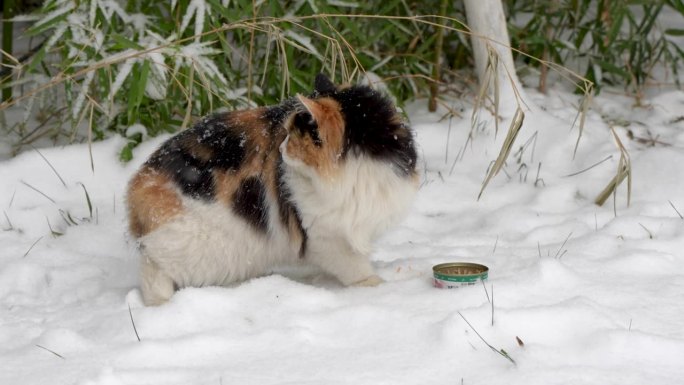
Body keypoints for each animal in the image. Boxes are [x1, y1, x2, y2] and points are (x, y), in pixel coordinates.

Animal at [125, 73, 420, 304]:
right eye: (286, 133)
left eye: (294, 137)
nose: (281, 147)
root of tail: (139, 180)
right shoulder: (324, 235)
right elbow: (354, 266)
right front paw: (375, 286)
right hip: (201, 243)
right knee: (153, 270)